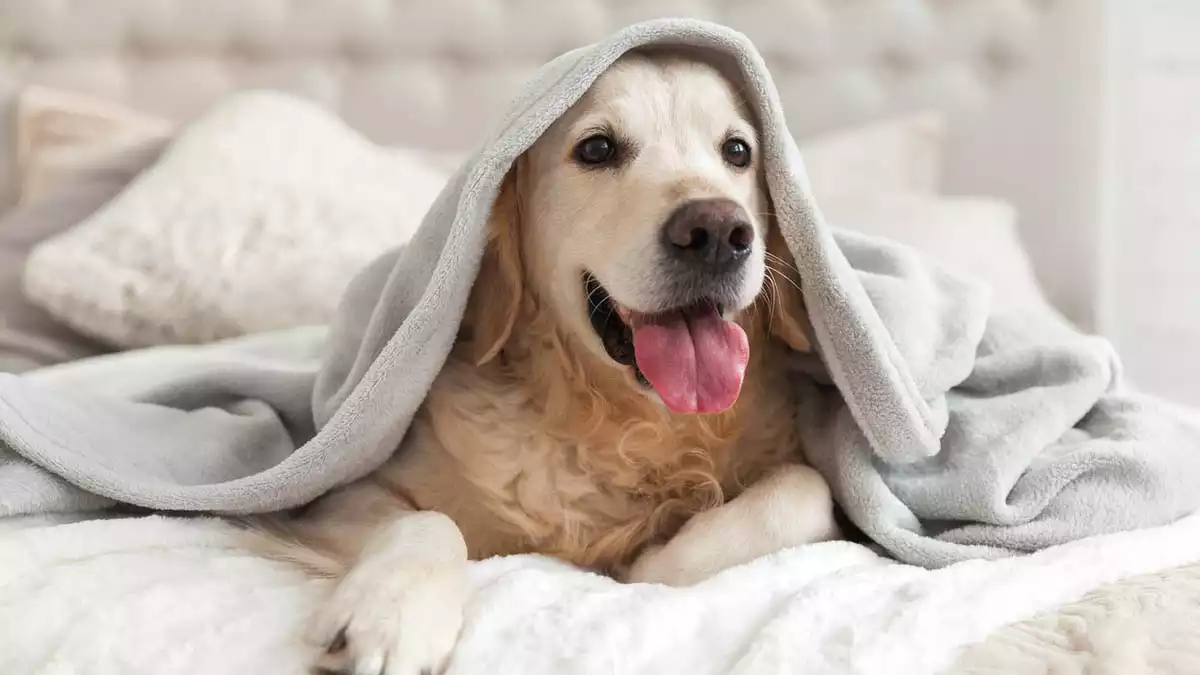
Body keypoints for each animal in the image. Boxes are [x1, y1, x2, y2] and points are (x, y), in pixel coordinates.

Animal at [249, 49, 840, 667]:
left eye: (738, 151)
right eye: (597, 148)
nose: (719, 231)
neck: (626, 425)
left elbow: (806, 489)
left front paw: (655, 558)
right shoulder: (332, 499)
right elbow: (429, 521)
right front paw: (389, 616)